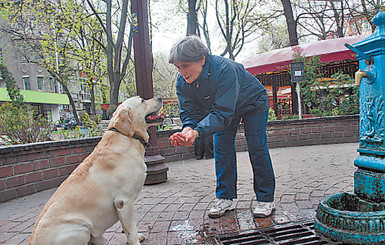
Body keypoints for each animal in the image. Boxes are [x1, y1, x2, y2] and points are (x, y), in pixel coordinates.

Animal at [28, 96, 162, 245]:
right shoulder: (123, 201)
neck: (128, 137)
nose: (159, 97)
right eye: (142, 101)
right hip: (80, 230)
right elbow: (130, 229)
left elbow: (126, 227)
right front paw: (135, 240)